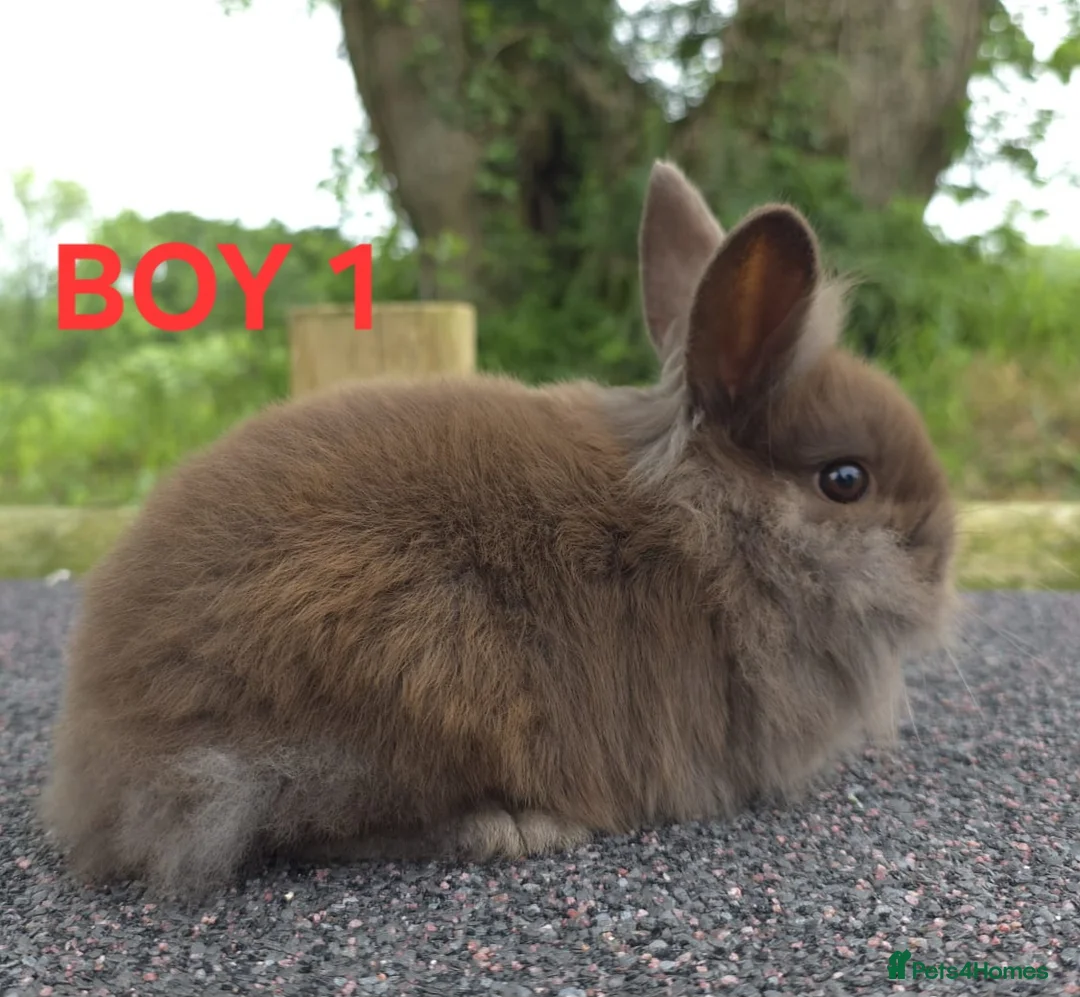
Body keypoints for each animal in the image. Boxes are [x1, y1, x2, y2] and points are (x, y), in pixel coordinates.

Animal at [40, 160, 958, 899]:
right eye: (846, 481)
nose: (945, 558)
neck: (724, 528)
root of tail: (107, 770)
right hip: (410, 662)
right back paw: (518, 827)